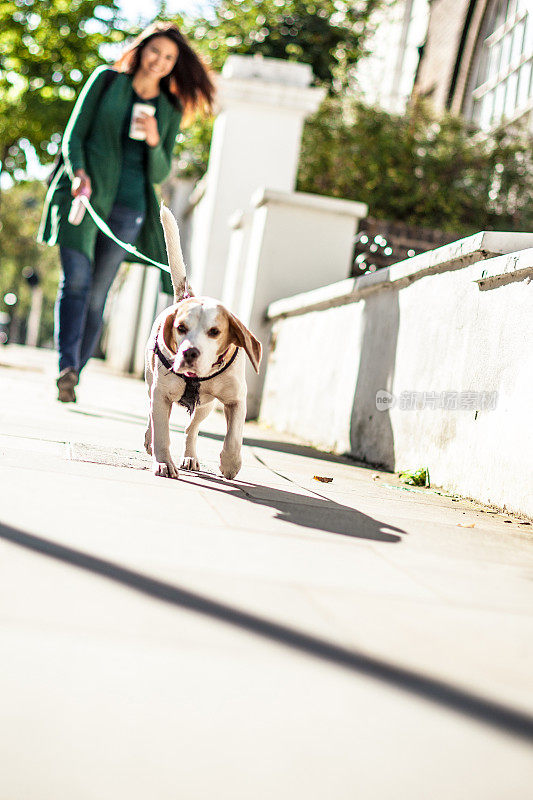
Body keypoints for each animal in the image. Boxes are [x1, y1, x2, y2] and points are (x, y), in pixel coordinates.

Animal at [143, 208, 262, 482]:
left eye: (214, 332)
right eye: (181, 328)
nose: (190, 352)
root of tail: (187, 296)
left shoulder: (236, 399)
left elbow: (234, 437)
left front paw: (230, 463)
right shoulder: (161, 394)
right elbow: (162, 433)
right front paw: (163, 462)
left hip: (206, 407)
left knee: (191, 428)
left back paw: (190, 456)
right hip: (151, 386)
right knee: (154, 420)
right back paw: (150, 440)